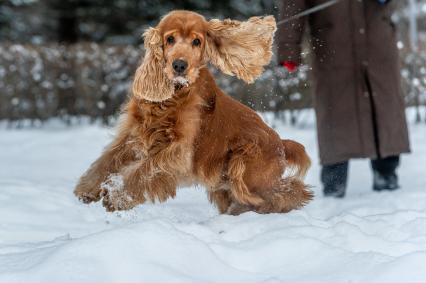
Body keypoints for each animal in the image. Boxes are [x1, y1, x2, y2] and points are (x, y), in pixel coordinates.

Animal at [74, 10, 312, 215]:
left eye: (197, 42)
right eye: (170, 39)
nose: (180, 65)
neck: (173, 96)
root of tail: (282, 144)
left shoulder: (177, 151)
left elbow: (146, 170)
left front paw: (116, 195)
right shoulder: (134, 133)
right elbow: (108, 160)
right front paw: (88, 189)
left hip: (247, 173)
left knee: (289, 193)